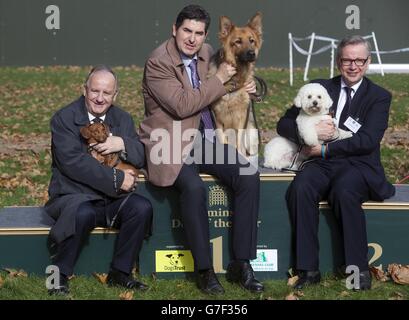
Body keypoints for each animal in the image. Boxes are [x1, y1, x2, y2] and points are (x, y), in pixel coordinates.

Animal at [207, 11, 262, 157]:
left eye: (251, 40)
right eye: (238, 42)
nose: (252, 53)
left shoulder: (242, 118)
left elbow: (239, 142)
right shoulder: (217, 119)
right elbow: (222, 140)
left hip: (252, 134)